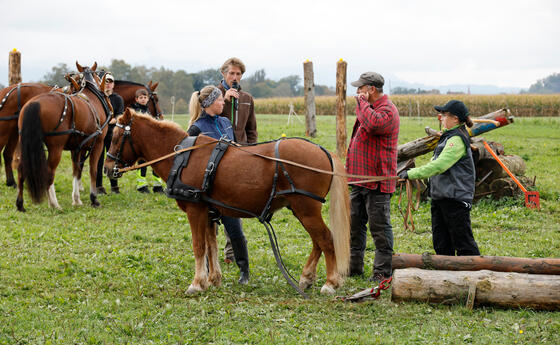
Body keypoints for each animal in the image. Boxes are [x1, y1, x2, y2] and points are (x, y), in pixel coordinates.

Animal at [15, 62, 112, 211]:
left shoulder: (77, 148)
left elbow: (76, 171)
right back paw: (54, 204)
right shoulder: (98, 144)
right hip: (56, 147)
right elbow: (93, 170)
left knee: (21, 169)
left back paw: (20, 204)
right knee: (49, 172)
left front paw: (76, 199)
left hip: (24, 143)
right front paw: (94, 199)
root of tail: (35, 103)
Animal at [104, 109, 350, 296]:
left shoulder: (195, 210)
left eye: (116, 137)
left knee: (326, 240)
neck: (182, 156)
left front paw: (196, 283)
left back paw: (330, 283)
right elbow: (211, 245)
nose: (107, 168)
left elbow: (198, 245)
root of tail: (323, 151)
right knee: (318, 241)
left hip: (306, 209)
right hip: (301, 209)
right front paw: (212, 279)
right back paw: (307, 278)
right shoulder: (208, 211)